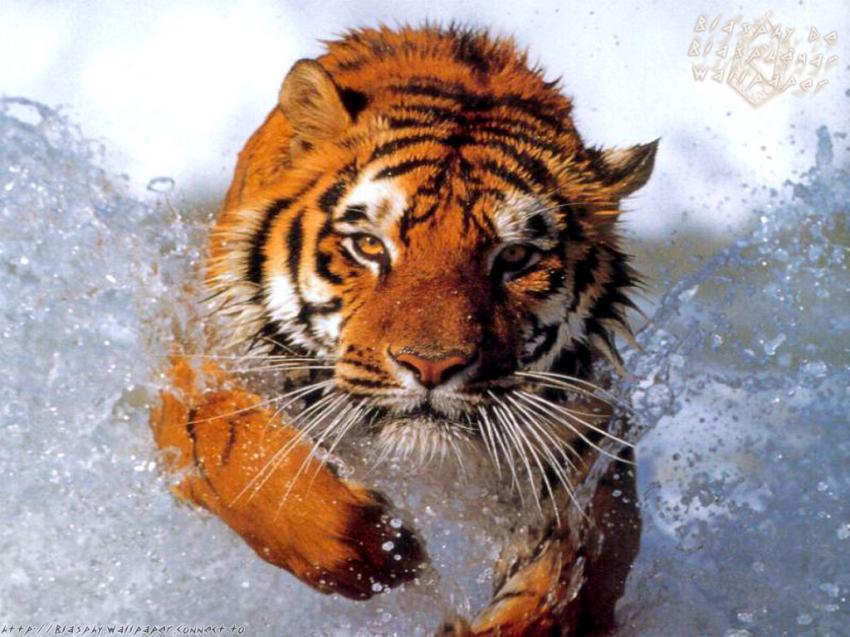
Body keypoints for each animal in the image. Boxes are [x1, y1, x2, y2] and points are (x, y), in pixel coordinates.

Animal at [150, 24, 656, 636]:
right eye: (370, 245)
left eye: (514, 257)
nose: (432, 366)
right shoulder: (201, 363)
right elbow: (237, 451)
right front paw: (379, 550)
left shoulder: (587, 455)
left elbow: (565, 581)